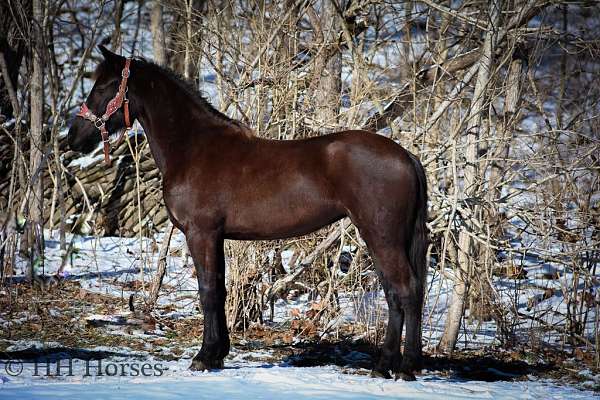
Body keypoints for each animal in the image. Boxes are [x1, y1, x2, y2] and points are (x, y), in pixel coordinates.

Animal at [68, 45, 428, 380]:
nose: (74, 138)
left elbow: (208, 291)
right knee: (395, 293)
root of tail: (406, 157)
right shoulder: (217, 237)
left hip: (381, 236)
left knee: (406, 290)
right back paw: (386, 366)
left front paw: (204, 357)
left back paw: (403, 367)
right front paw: (218, 354)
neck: (193, 147)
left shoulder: (201, 233)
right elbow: (219, 288)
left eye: (104, 86)